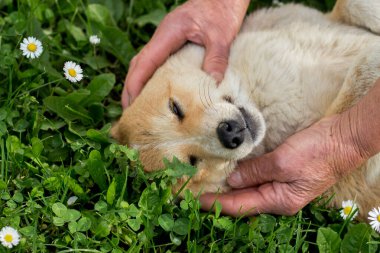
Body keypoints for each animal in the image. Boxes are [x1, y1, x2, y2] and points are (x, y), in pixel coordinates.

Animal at [112, 0, 380, 219]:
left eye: (175, 108)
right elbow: (359, 77)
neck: (259, 96)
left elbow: (353, 6)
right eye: (192, 163)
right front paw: (372, 57)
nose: (230, 133)